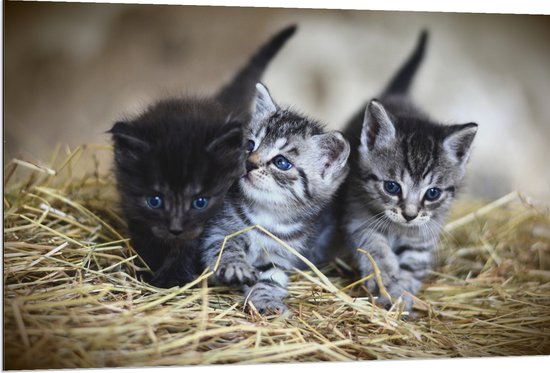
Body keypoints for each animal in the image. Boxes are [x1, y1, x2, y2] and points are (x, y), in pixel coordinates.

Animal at [111, 26, 298, 286]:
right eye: (154, 201)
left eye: (200, 202)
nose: (176, 229)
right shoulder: (134, 210)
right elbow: (146, 239)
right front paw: (148, 268)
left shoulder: (211, 222)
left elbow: (190, 246)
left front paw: (172, 278)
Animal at [201, 82, 352, 314]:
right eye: (250, 145)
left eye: (281, 162)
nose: (249, 163)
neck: (267, 215)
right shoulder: (218, 230)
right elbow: (225, 247)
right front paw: (235, 265)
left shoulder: (280, 255)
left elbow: (271, 278)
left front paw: (267, 300)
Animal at [342, 30, 480, 310]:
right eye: (392, 187)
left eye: (433, 193)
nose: (409, 215)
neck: (399, 229)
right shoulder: (357, 216)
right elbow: (374, 246)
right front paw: (385, 275)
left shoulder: (424, 234)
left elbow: (413, 266)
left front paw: (401, 295)